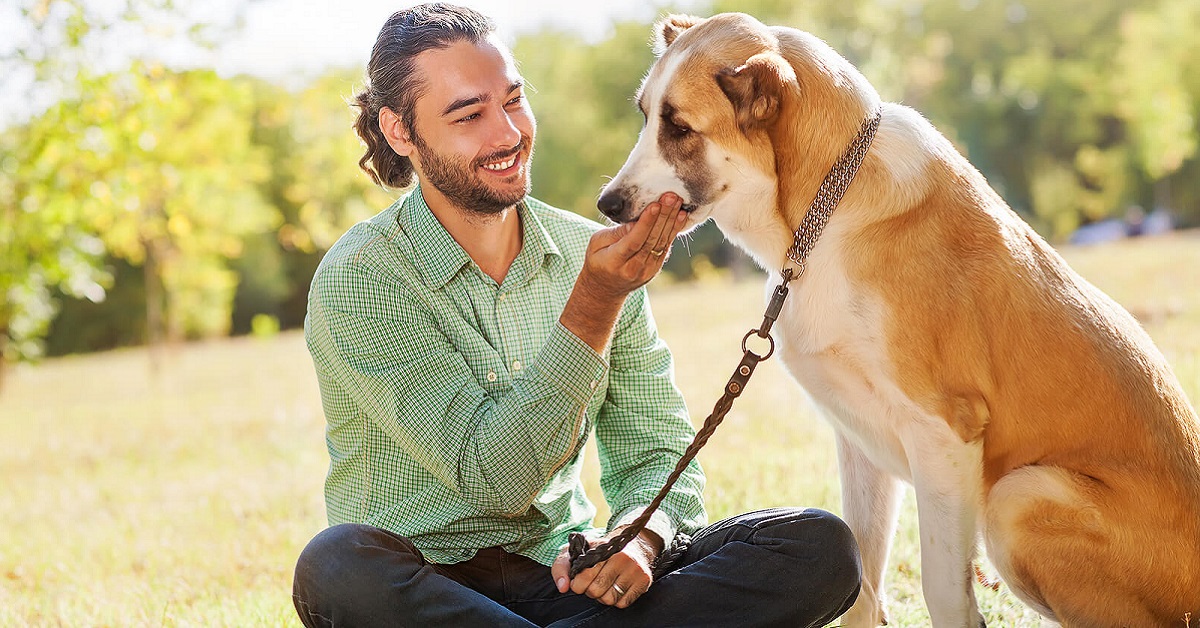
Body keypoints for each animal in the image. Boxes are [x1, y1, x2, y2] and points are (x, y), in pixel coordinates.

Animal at [597, 11, 1200, 628]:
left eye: (680, 128)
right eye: (646, 116)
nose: (607, 205)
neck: (825, 211)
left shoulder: (943, 433)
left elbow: (943, 591)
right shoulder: (860, 442)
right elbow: (863, 582)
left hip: (1019, 496)